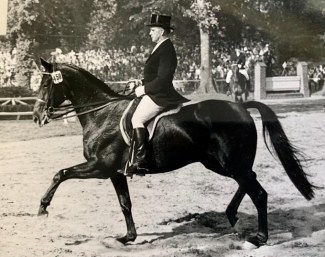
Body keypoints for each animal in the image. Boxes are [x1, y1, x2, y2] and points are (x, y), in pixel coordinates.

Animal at [33, 59, 314, 247]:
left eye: (46, 83)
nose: (36, 116)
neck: (102, 114)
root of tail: (242, 106)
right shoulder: (115, 172)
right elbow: (125, 203)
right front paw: (128, 237)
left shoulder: (100, 167)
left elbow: (61, 173)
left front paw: (43, 208)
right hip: (222, 163)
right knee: (249, 182)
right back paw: (232, 216)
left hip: (231, 164)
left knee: (258, 192)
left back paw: (259, 238)